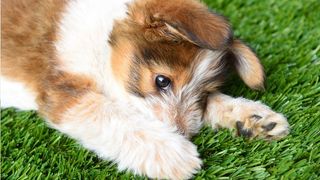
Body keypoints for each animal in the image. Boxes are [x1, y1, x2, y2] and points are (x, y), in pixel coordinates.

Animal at [0, 0, 290, 179]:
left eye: (203, 94)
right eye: (162, 81)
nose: (182, 135)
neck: (104, 45)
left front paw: (254, 118)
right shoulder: (62, 91)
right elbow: (111, 115)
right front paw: (172, 153)